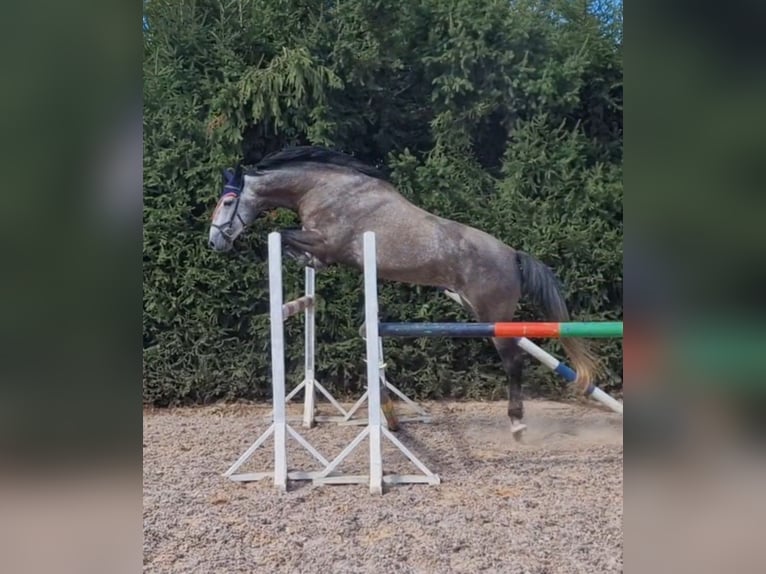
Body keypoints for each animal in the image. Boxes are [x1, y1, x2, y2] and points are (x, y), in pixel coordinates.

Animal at [212, 146, 608, 438]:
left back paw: (517, 423)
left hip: (493, 316)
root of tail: (512, 254)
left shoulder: (327, 241)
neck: (324, 190)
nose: (215, 241)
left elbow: (286, 235)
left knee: (513, 362)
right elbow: (293, 244)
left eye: (228, 202)